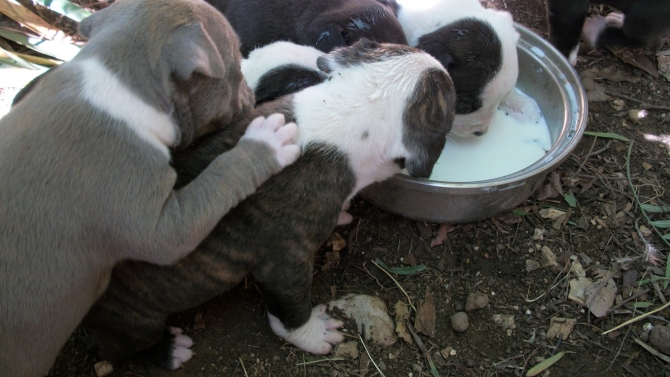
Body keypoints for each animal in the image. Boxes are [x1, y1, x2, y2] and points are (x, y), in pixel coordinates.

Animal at [0, 0, 300, 376]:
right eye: (236, 64)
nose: (253, 93)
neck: (116, 87)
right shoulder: (164, 227)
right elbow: (221, 177)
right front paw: (266, 141)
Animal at [79, 39, 456, 368]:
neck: (349, 107)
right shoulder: (284, 262)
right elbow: (290, 309)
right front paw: (312, 333)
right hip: (133, 319)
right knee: (115, 347)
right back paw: (168, 351)